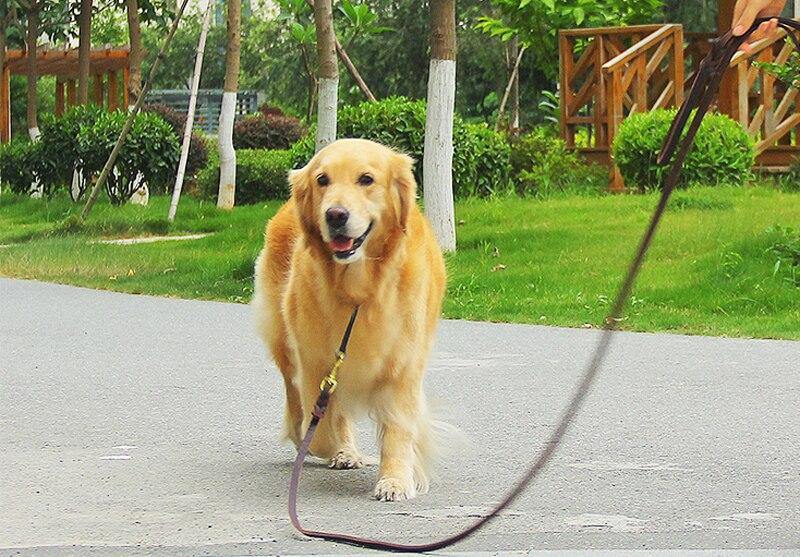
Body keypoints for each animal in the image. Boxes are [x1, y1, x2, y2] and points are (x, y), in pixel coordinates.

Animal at [253, 138, 446, 500]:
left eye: (366, 179)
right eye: (322, 180)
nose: (335, 215)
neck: (360, 290)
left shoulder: (403, 363)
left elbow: (399, 426)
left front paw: (395, 480)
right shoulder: (315, 361)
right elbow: (319, 425)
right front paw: (329, 445)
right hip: (285, 343)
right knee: (300, 401)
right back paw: (336, 448)